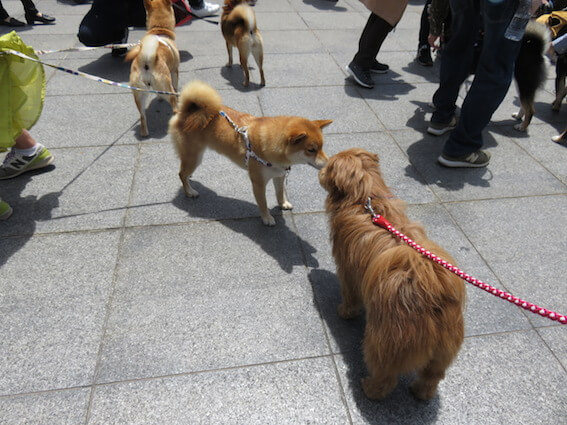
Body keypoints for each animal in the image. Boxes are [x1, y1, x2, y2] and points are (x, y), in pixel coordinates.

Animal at [126, 0, 180, 136]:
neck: (159, 30)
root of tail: (146, 60)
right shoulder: (174, 71)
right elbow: (176, 84)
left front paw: (159, 98)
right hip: (166, 87)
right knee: (173, 102)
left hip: (139, 95)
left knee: (142, 116)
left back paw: (144, 133)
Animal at [320, 147, 466, 400]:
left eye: (328, 167)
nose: (319, 169)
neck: (366, 199)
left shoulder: (347, 270)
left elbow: (349, 295)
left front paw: (345, 311)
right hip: (442, 353)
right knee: (431, 377)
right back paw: (420, 393)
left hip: (384, 342)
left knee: (385, 377)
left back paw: (369, 389)